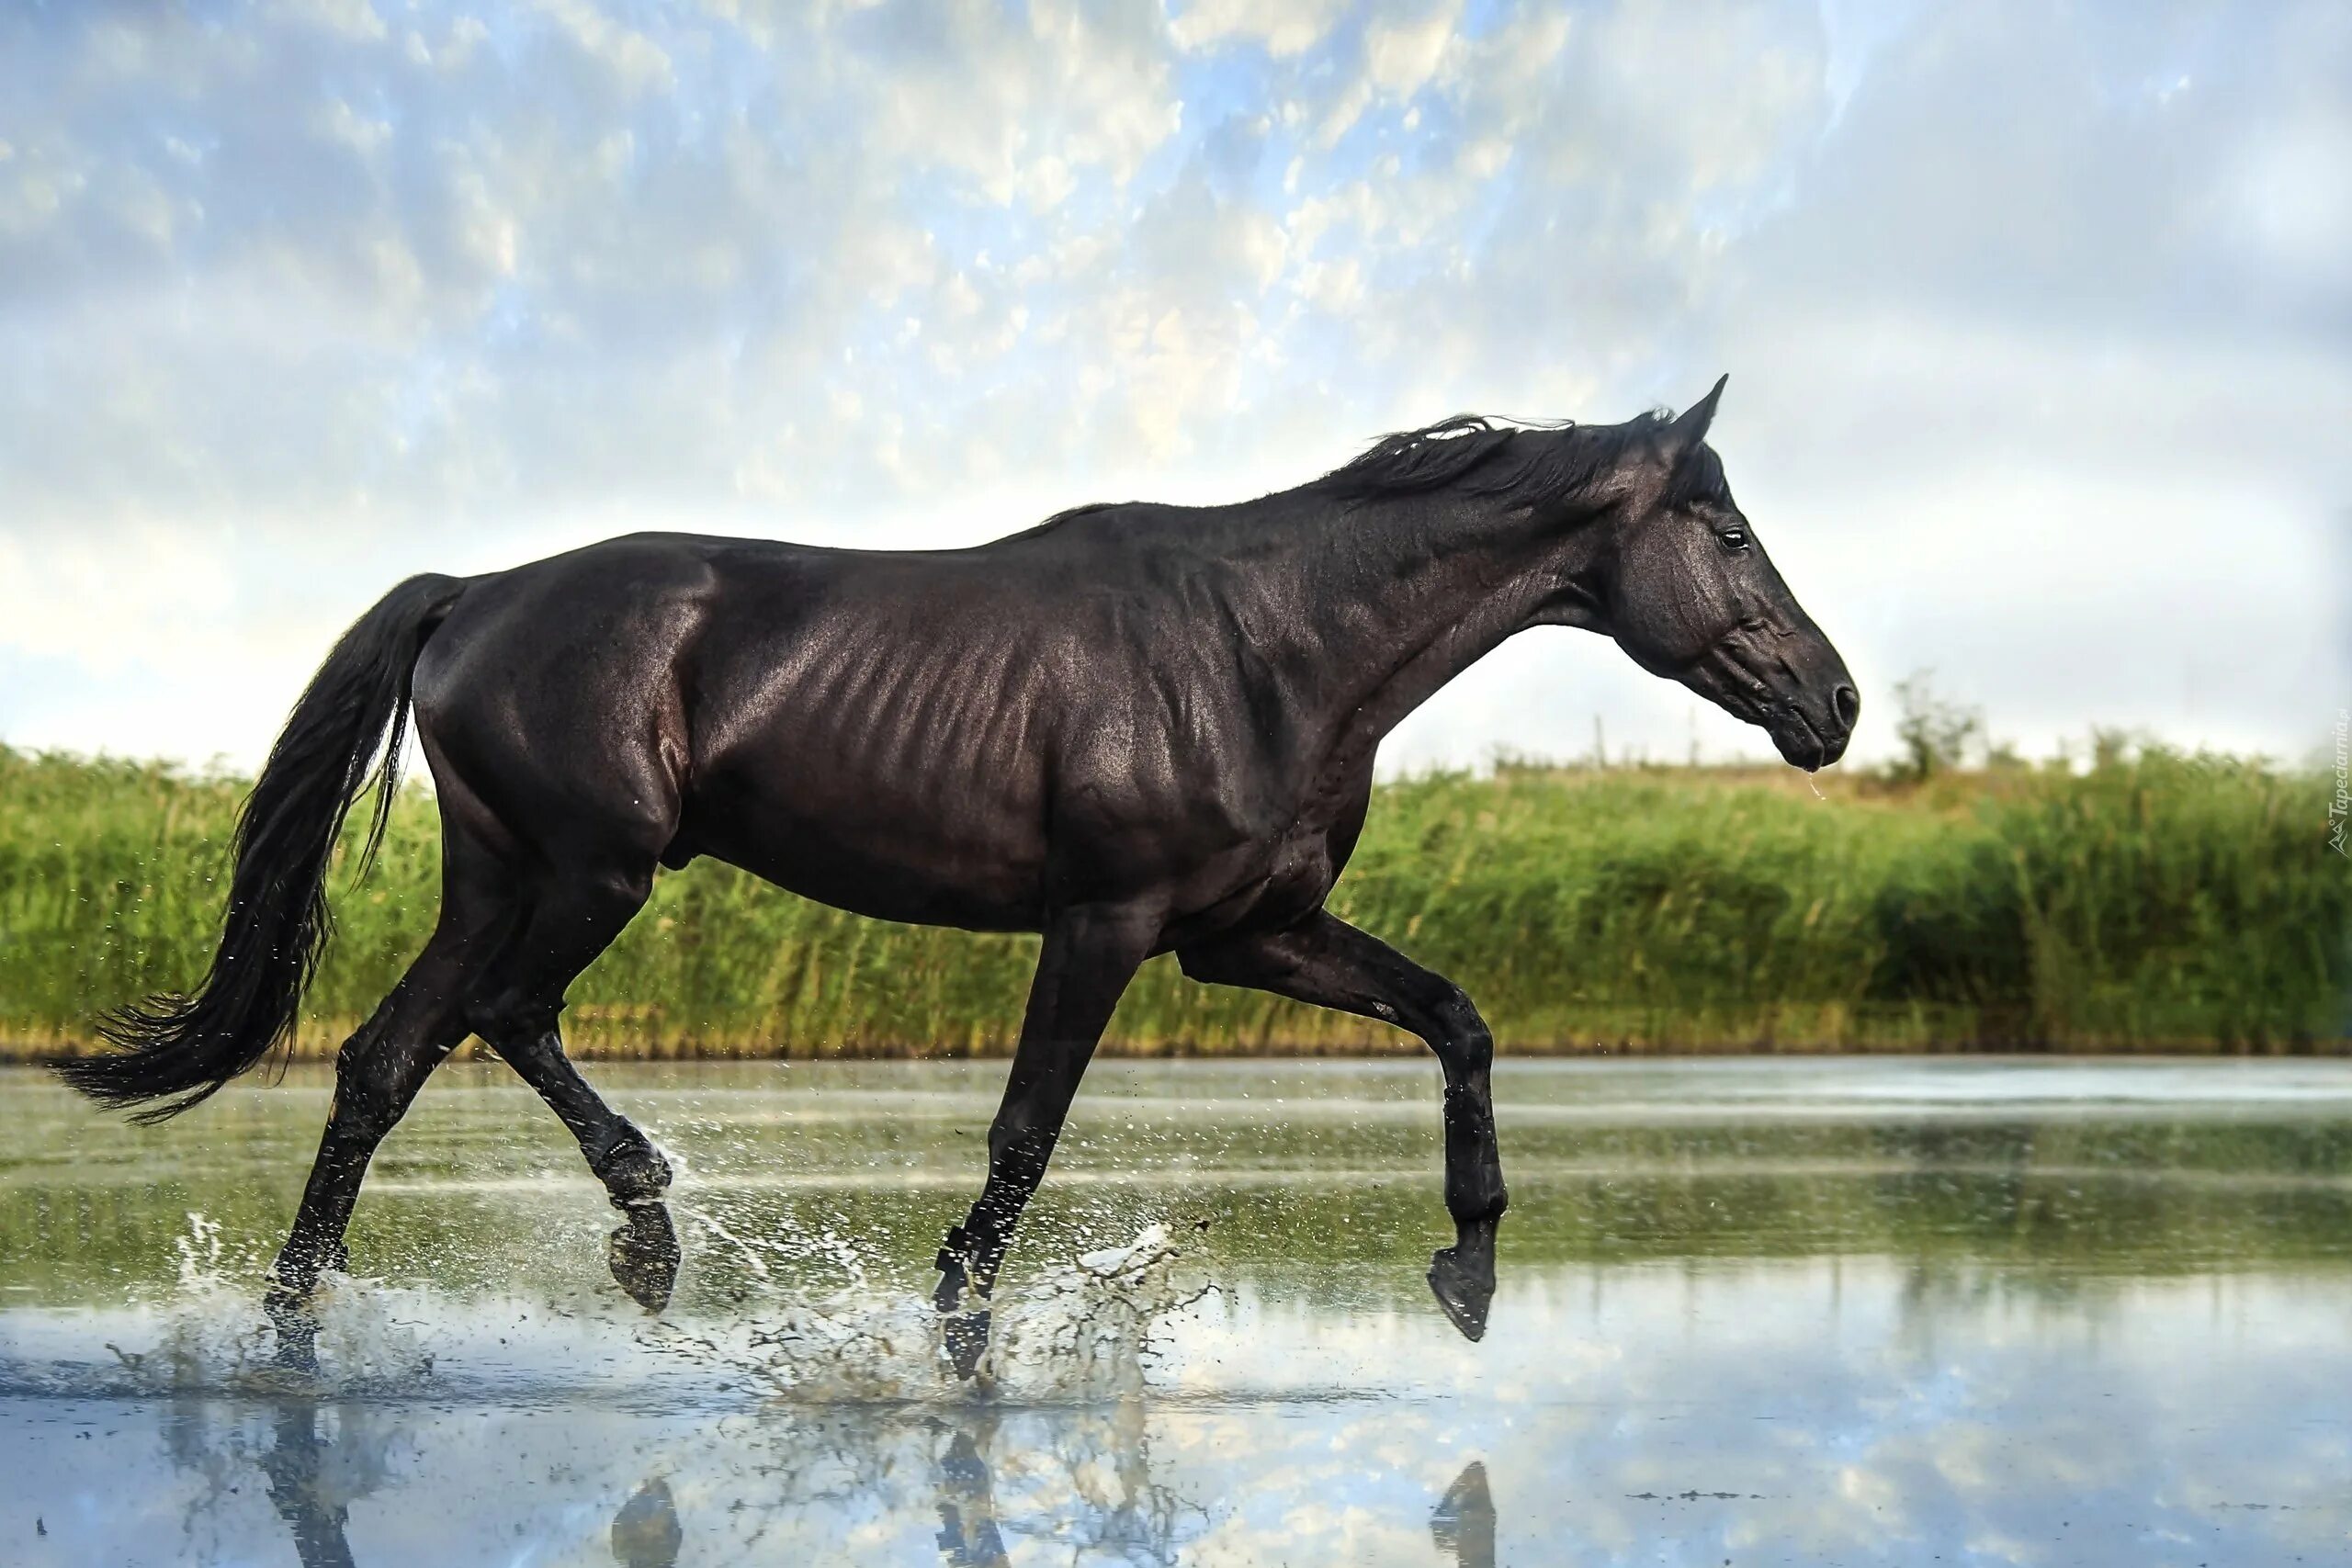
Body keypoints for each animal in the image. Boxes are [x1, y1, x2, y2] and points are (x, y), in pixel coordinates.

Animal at [59, 380, 1853, 1372]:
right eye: (1733, 535)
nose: (1831, 704)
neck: (1269, 642)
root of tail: (475, 590)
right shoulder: (1108, 921)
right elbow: (1022, 1135)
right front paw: (957, 1331)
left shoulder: (1247, 933)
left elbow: (1458, 1013)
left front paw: (1470, 1262)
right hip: (587, 870)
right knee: (483, 1023)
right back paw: (636, 1232)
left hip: (508, 873)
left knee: (389, 1055)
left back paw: (318, 1314)